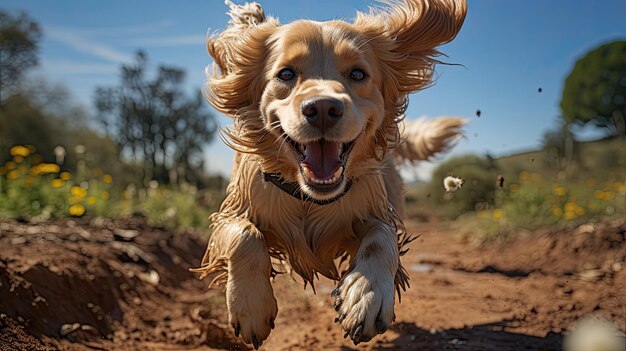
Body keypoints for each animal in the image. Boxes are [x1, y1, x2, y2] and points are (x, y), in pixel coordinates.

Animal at [193, 0, 466, 348]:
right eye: (285, 73)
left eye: (358, 73)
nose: (323, 108)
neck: (308, 198)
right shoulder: (232, 210)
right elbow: (245, 234)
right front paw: (252, 306)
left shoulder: (376, 209)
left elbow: (382, 238)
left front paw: (365, 296)